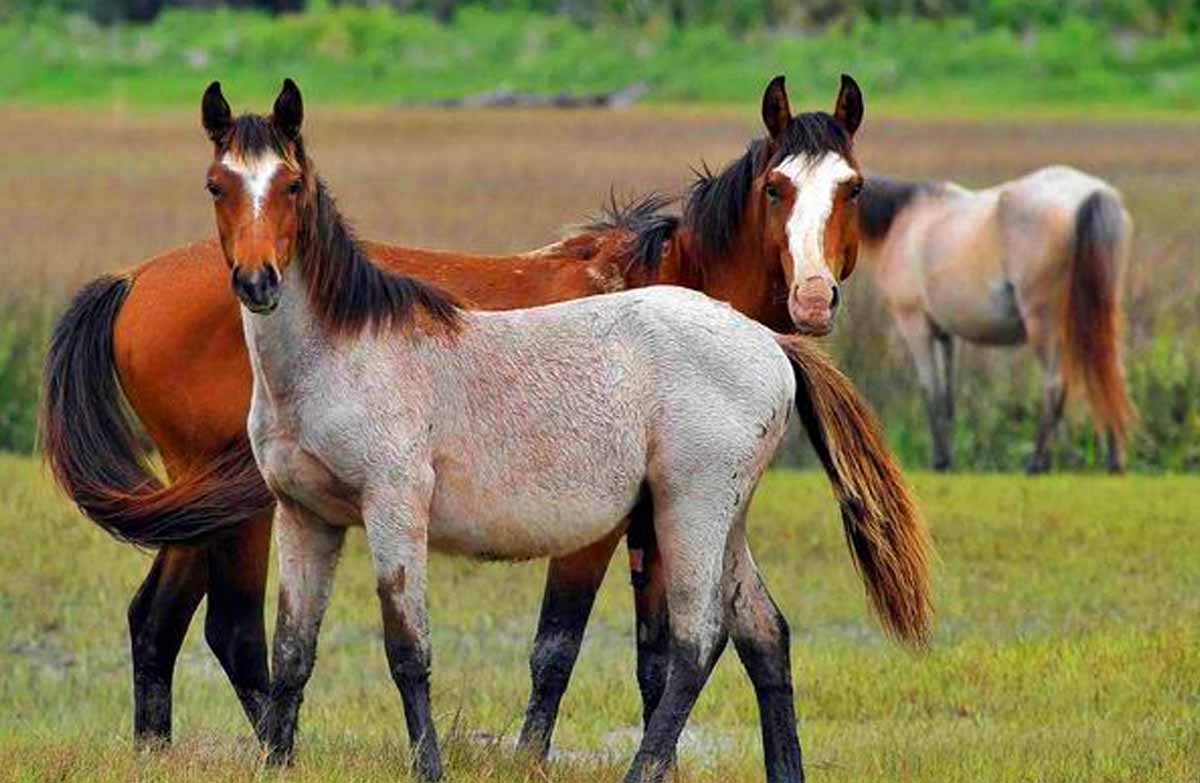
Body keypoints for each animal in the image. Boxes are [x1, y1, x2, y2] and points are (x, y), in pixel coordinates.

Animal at [39, 74, 905, 762]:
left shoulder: (561, 522)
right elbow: (318, 646)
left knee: (722, 638)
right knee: (208, 627)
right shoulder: (318, 512)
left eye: (854, 188)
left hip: (698, 509)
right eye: (776, 188)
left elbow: (574, 652)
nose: (814, 299)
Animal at [857, 167, 1134, 473]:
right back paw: (1114, 462)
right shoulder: (945, 334)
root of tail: (1090, 193)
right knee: (1110, 376)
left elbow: (930, 390)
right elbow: (947, 396)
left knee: (1055, 385)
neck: (900, 219)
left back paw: (1037, 463)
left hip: (1044, 324)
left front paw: (940, 460)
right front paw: (948, 460)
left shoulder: (915, 325)